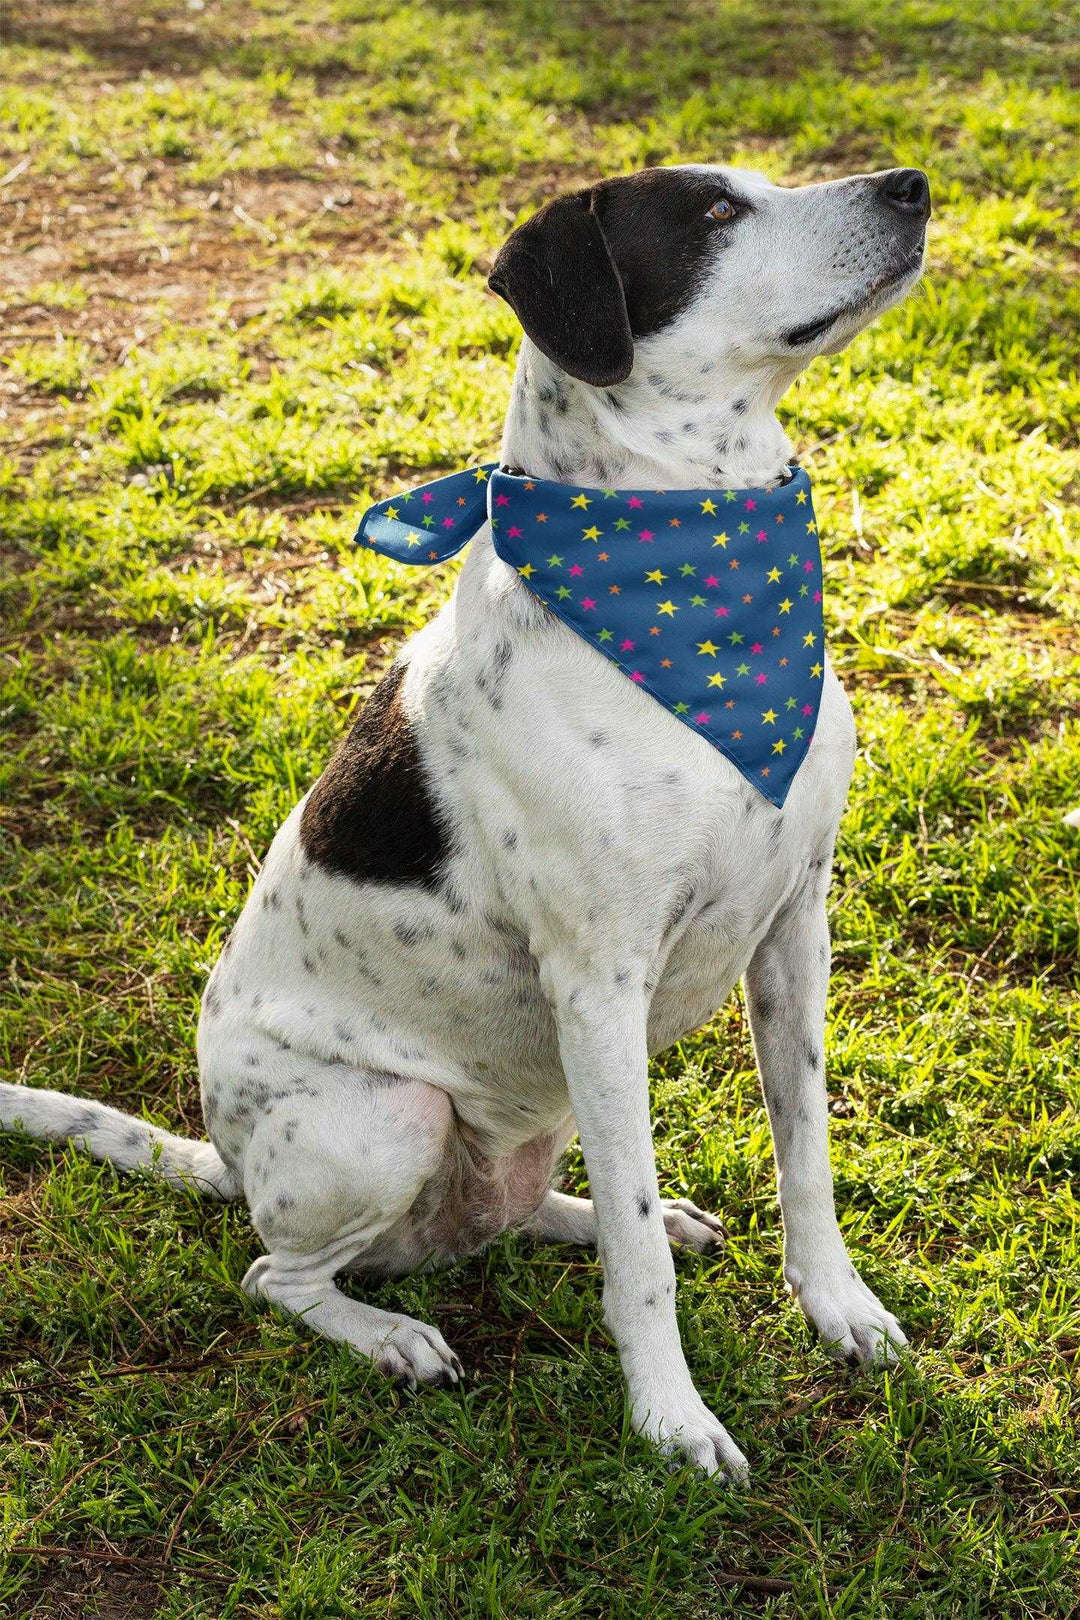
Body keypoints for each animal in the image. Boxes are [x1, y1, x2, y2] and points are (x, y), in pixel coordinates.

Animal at [0, 161, 932, 1483]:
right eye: (712, 213)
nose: (909, 185)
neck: (691, 579)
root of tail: (225, 1160)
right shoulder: (598, 983)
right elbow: (638, 1274)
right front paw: (671, 1421)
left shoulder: (794, 926)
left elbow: (805, 1158)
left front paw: (838, 1309)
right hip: (386, 1118)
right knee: (279, 1275)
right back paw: (388, 1335)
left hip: (525, 1116)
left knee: (523, 1206)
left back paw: (602, 1217)